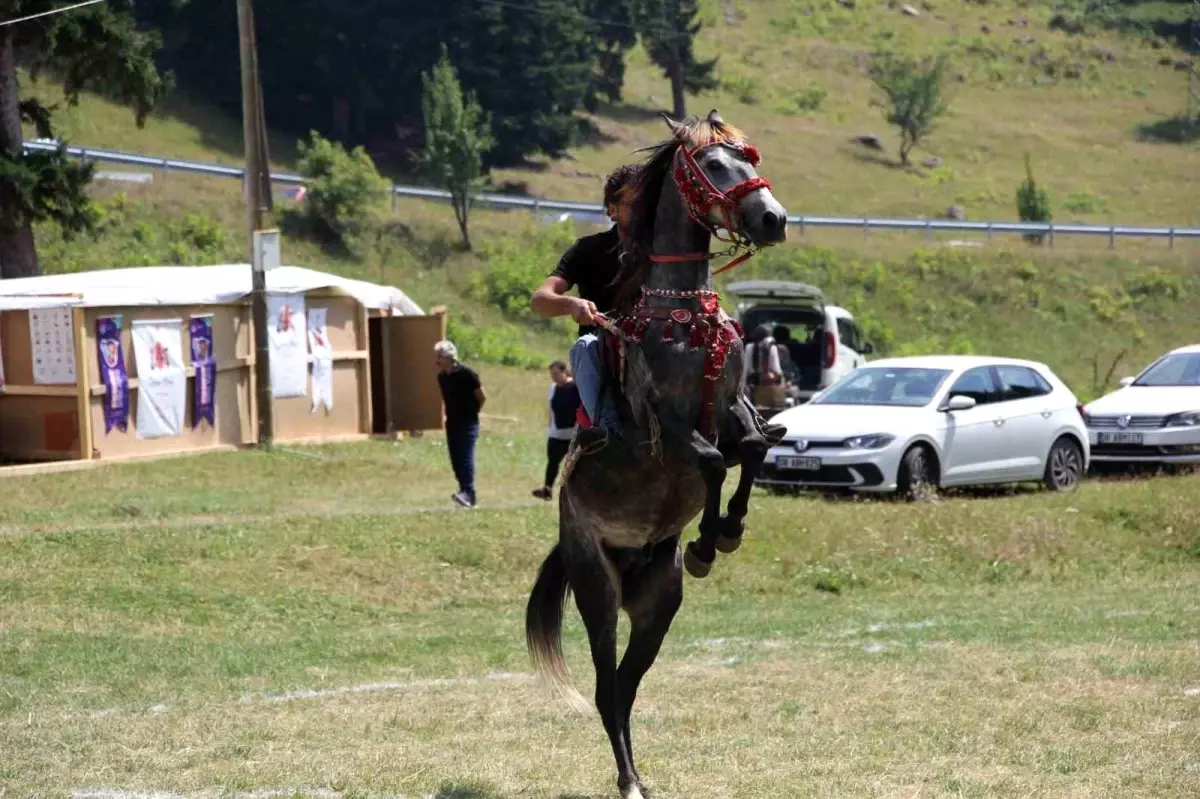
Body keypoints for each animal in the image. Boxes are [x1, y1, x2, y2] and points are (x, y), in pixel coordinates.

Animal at [525, 110, 787, 796]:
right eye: (715, 164)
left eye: (749, 157)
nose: (773, 218)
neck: (683, 321)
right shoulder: (667, 427)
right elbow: (713, 462)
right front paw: (708, 541)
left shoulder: (733, 408)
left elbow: (751, 447)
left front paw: (723, 534)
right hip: (597, 588)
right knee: (604, 688)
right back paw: (629, 781)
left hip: (656, 606)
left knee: (624, 686)